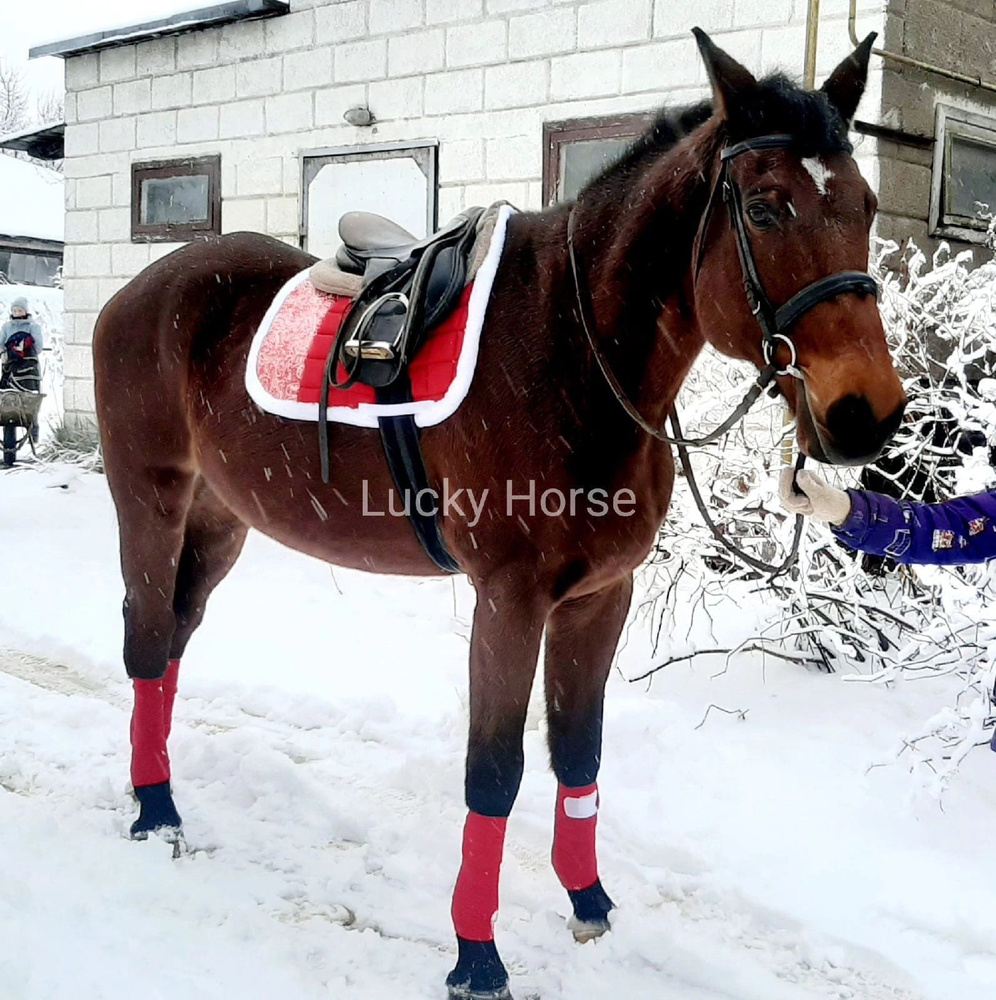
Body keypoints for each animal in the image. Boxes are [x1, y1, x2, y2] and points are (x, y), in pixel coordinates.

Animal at [97, 31, 908, 1000]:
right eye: (764, 207)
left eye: (865, 204)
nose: (868, 414)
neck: (573, 351)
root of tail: (142, 288)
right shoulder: (510, 600)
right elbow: (494, 770)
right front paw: (476, 956)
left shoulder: (600, 598)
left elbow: (579, 751)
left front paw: (589, 902)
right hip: (150, 499)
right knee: (148, 638)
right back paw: (154, 810)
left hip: (221, 519)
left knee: (174, 639)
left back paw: (158, 789)